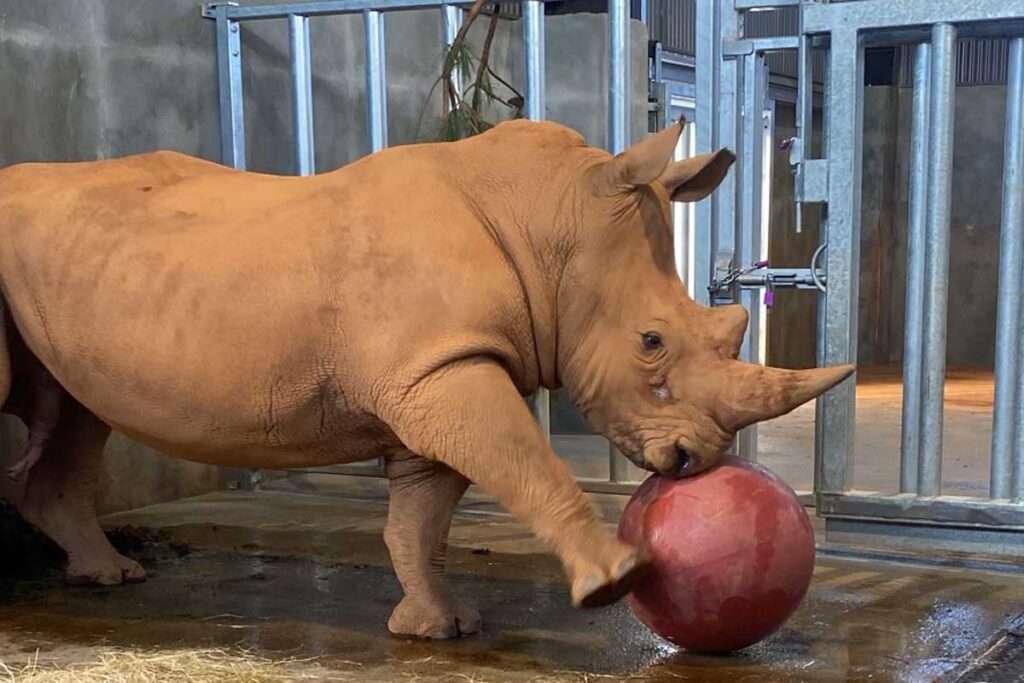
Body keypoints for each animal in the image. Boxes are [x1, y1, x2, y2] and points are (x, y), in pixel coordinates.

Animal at [0, 119, 852, 638]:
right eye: (651, 342)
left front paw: (440, 627)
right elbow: (528, 462)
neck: (551, 221)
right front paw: (617, 579)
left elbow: (423, 511)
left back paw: (110, 577)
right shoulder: (444, 369)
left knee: (75, 411)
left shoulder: (434, 369)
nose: (694, 461)